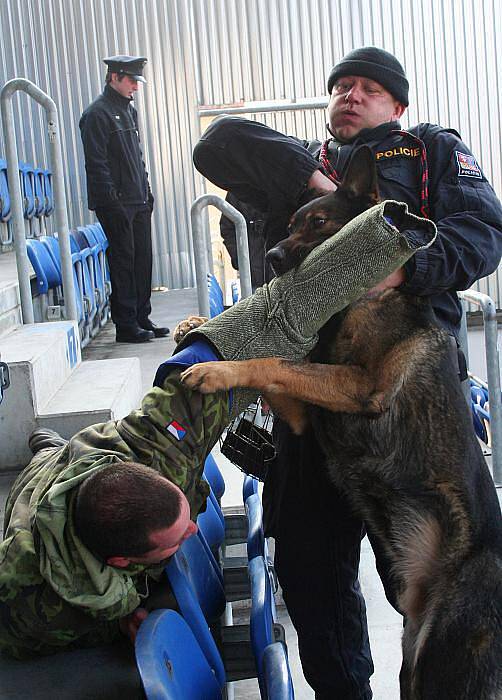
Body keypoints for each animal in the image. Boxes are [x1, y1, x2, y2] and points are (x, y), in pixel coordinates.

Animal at [182, 148, 502, 700]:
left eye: (318, 223)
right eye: (292, 223)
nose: (272, 256)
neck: (365, 300)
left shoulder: (357, 386)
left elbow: (275, 361)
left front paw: (214, 369)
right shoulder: (308, 413)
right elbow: (279, 370)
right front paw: (197, 333)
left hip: (443, 659)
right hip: (414, 661)